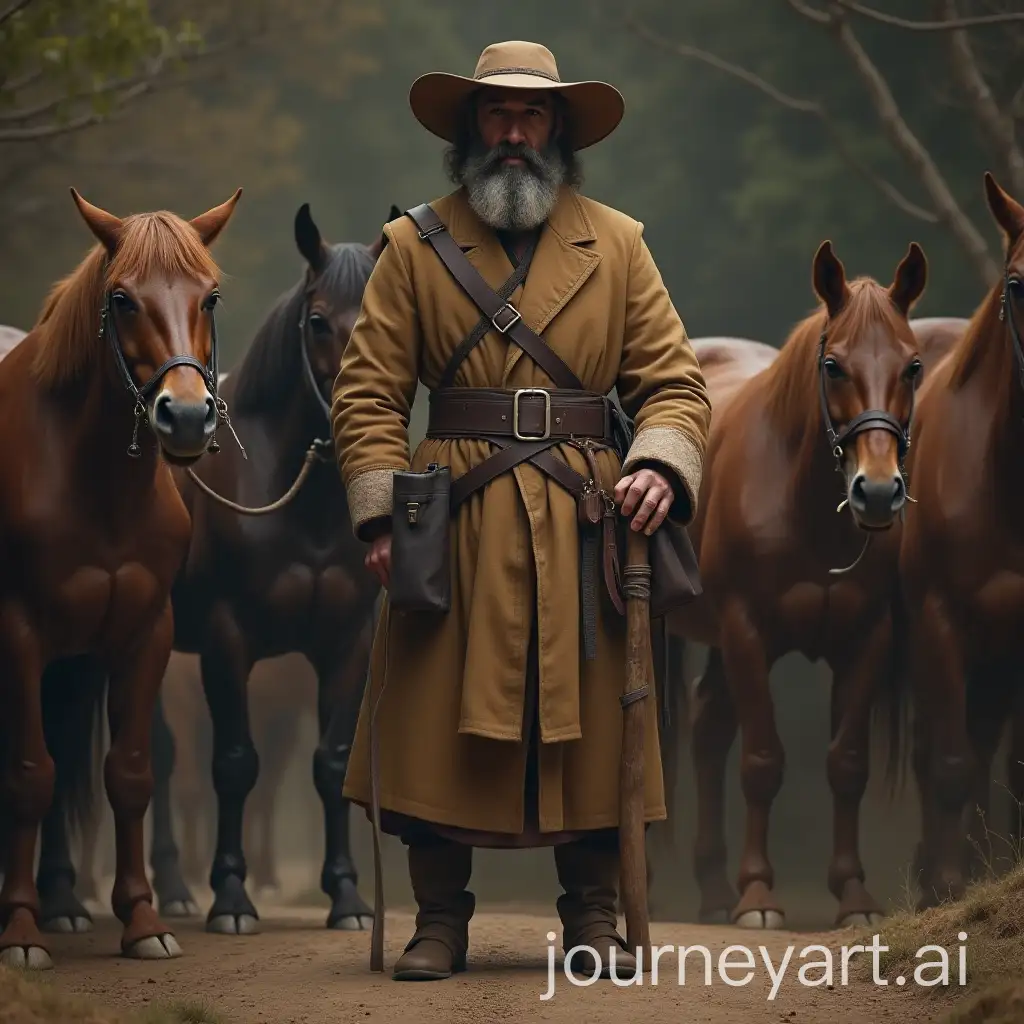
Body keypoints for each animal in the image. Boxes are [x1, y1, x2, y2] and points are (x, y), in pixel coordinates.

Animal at [0, 186, 241, 966]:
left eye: (211, 297)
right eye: (122, 299)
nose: (187, 417)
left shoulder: (143, 631)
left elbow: (129, 774)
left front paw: (143, 921)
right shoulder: (19, 634)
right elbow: (29, 775)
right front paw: (20, 932)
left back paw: (63, 903)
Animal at [149, 201, 397, 937]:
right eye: (317, 320)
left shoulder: (345, 642)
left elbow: (331, 765)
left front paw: (347, 898)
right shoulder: (227, 641)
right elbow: (235, 765)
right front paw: (231, 898)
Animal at [663, 237, 929, 929]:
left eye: (914, 366)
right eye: (833, 365)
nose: (878, 492)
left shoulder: (867, 638)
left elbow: (847, 763)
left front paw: (854, 897)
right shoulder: (747, 630)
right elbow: (762, 761)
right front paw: (759, 897)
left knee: (708, 728)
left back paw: (712, 891)